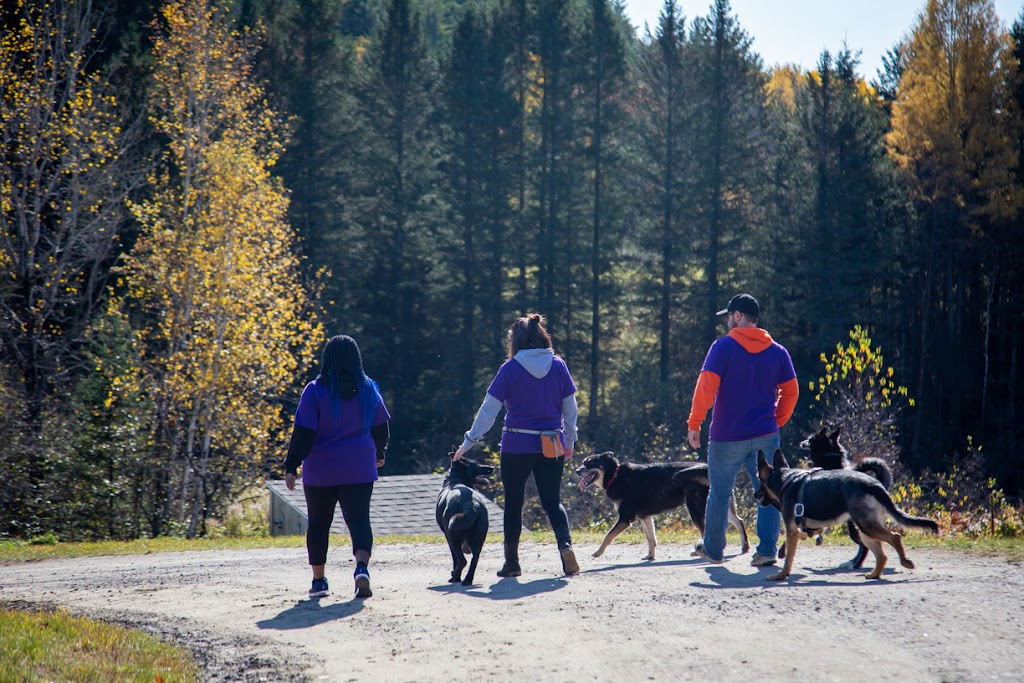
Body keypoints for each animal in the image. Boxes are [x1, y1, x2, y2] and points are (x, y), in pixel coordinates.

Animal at [434, 456, 493, 585]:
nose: (492, 468)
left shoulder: (447, 536)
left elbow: (455, 558)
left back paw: (455, 575)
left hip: (452, 535)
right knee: (475, 558)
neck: (455, 480)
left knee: (462, 560)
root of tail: (472, 504)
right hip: (479, 537)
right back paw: (468, 579)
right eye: (476, 464)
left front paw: (456, 577)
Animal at [577, 448, 753, 561]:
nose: (577, 470)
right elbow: (651, 538)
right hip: (719, 503)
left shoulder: (626, 518)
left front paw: (598, 552)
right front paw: (650, 556)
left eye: (590, 463)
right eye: (583, 462)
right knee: (739, 521)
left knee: (706, 530)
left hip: (697, 510)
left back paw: (703, 552)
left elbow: (608, 536)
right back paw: (744, 546)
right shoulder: (645, 517)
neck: (614, 474)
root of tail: (706, 468)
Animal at [794, 428, 892, 565]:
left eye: (810, 439)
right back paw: (853, 561)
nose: (801, 442)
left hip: (856, 524)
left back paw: (856, 563)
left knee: (863, 544)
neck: (829, 458)